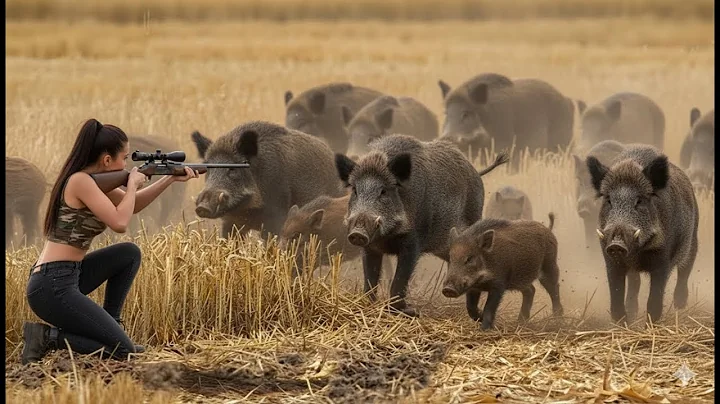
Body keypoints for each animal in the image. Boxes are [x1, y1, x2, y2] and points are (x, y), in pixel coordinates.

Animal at [335, 134, 509, 317]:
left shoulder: (414, 242)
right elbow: (370, 277)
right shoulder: (371, 247)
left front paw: (409, 312)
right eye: (355, 190)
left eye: (384, 191)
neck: (388, 236)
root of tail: (476, 173)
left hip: (474, 214)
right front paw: (368, 304)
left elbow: (400, 279)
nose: (358, 233)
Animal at [587, 144, 699, 324]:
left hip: (693, 239)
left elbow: (654, 299)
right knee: (635, 283)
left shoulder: (663, 258)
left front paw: (650, 324)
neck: (637, 253)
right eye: (609, 200)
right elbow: (616, 295)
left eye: (639, 201)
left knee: (685, 269)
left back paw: (679, 305)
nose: (617, 244)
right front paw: (623, 323)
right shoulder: (610, 258)